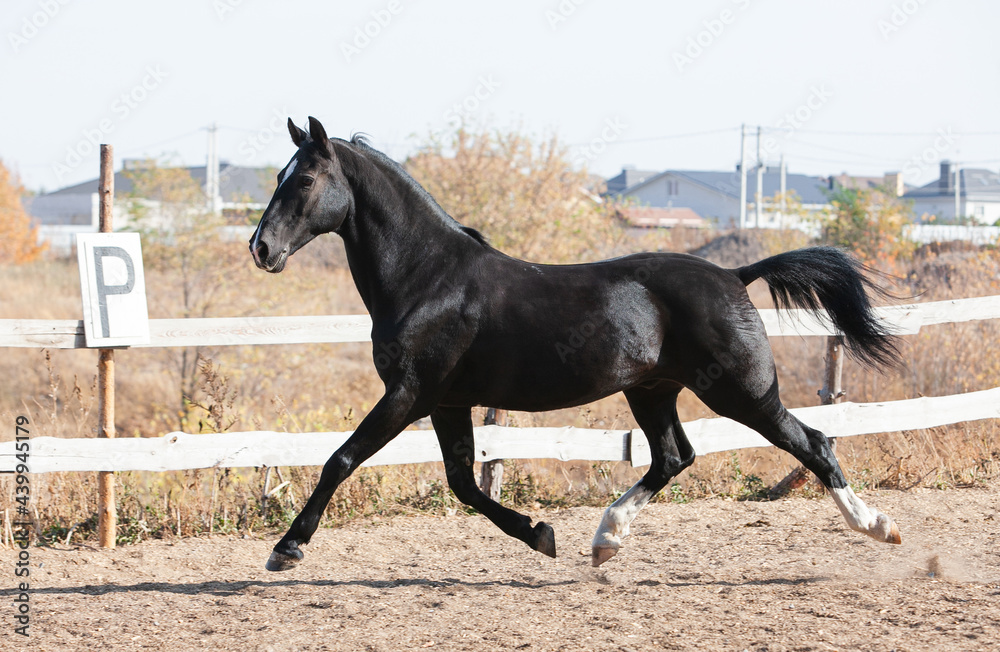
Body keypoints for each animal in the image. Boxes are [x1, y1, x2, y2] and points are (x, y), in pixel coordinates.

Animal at [249, 116, 903, 572]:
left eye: (303, 178)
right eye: (279, 175)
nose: (261, 248)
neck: (428, 277)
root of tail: (734, 275)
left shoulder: (410, 394)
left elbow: (341, 459)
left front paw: (287, 548)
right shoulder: (447, 401)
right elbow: (463, 482)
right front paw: (542, 535)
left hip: (742, 392)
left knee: (813, 443)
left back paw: (879, 526)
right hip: (653, 389)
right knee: (673, 457)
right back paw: (605, 540)